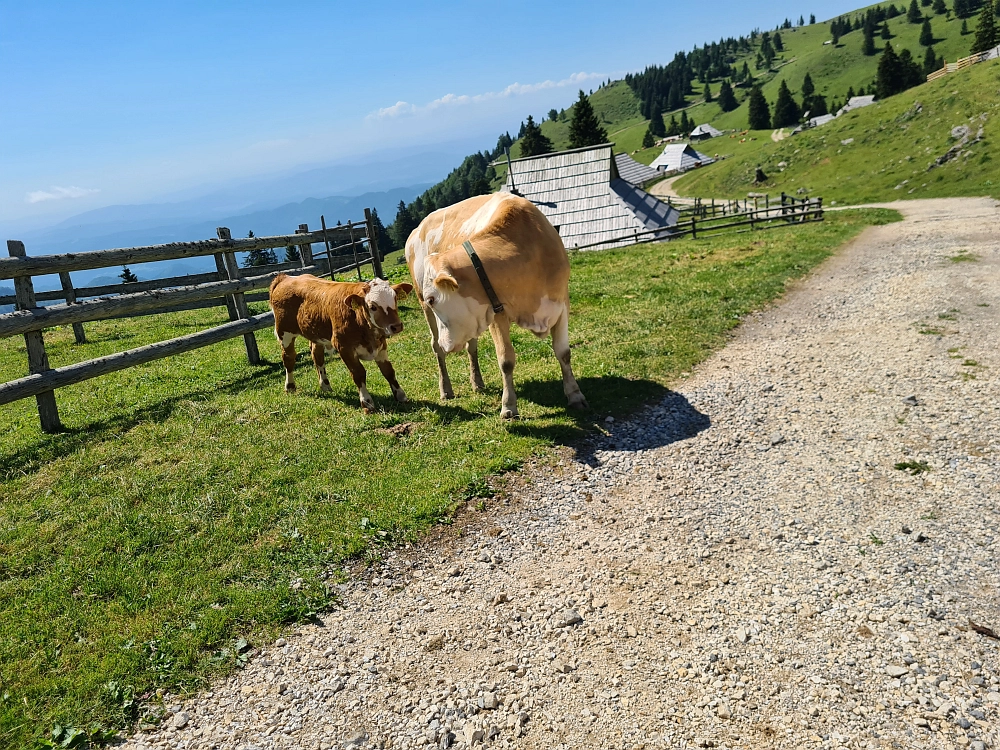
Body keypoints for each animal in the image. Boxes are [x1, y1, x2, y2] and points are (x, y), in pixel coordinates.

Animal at [268, 274, 412, 412]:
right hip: (285, 333)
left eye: (395, 299)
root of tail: (285, 277)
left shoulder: (381, 344)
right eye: (373, 307)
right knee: (289, 358)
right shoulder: (344, 348)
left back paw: (325, 385)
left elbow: (388, 370)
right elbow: (358, 373)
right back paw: (290, 387)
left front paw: (400, 395)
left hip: (316, 334)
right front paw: (366, 403)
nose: (397, 326)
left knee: (317, 356)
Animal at [404, 191, 584, 420]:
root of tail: (416, 230)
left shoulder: (561, 305)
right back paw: (446, 389)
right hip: (427, 313)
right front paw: (509, 407)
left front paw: (575, 395)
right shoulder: (497, 314)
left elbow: (563, 352)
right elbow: (506, 360)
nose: (447, 344)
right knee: (436, 347)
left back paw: (477, 382)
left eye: (432, 298)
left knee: (471, 346)